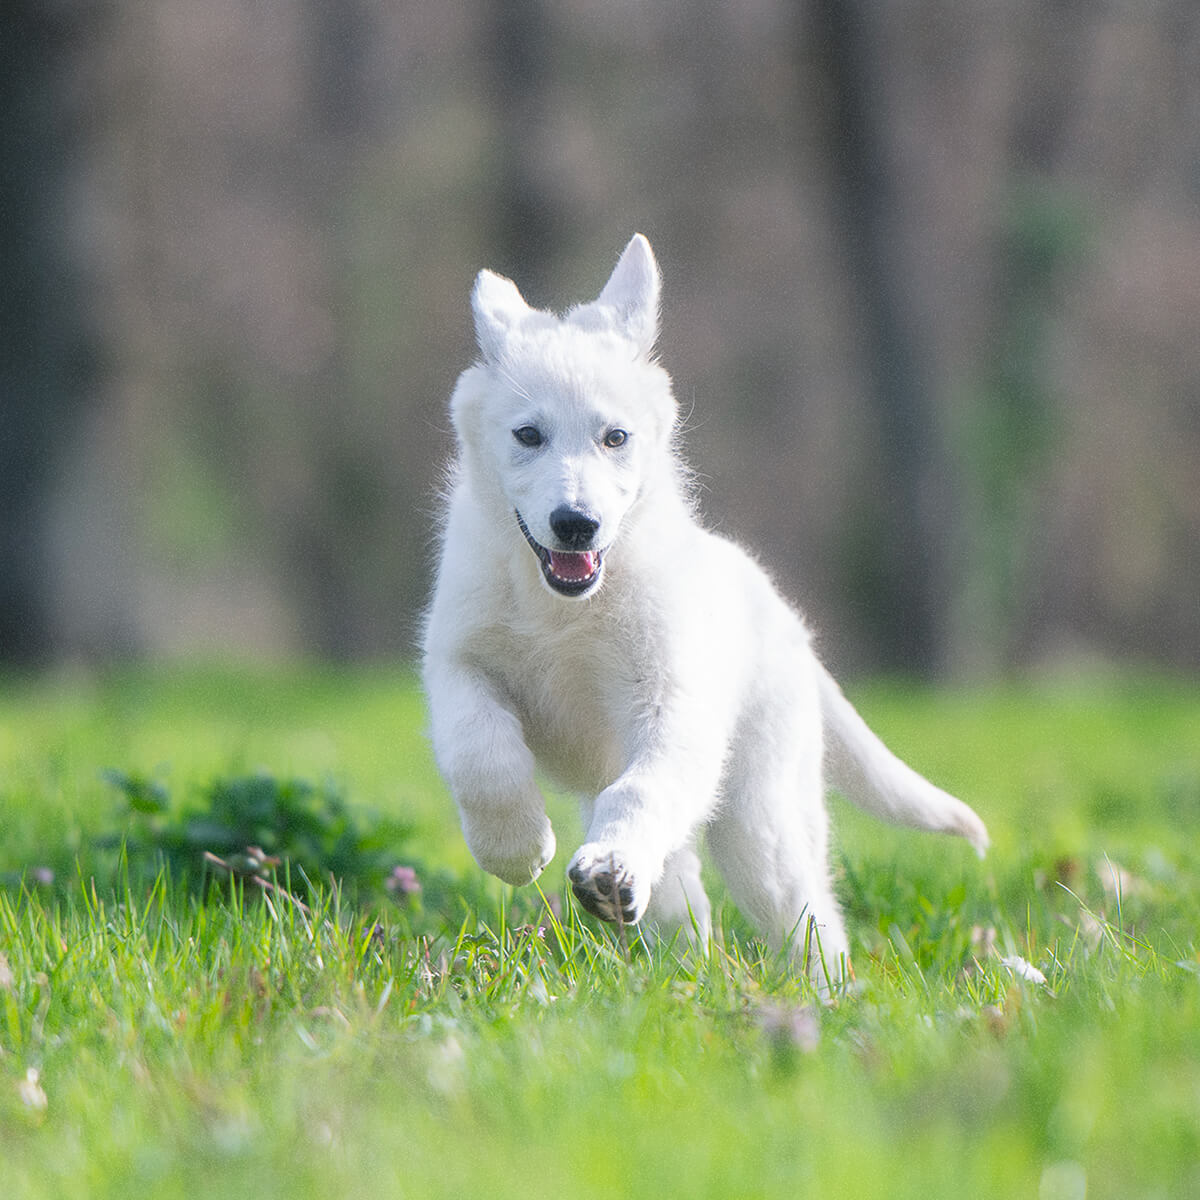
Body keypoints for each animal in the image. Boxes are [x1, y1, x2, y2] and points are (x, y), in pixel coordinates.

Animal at [422, 234, 984, 984]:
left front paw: (602, 862)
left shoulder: (674, 707)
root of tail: (783, 617)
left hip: (760, 818)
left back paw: (821, 991)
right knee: (684, 897)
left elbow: (641, 791)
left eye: (615, 437)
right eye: (528, 435)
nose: (576, 525)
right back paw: (671, 954)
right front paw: (513, 847)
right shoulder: (458, 662)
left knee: (808, 914)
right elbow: (479, 753)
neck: (566, 613)